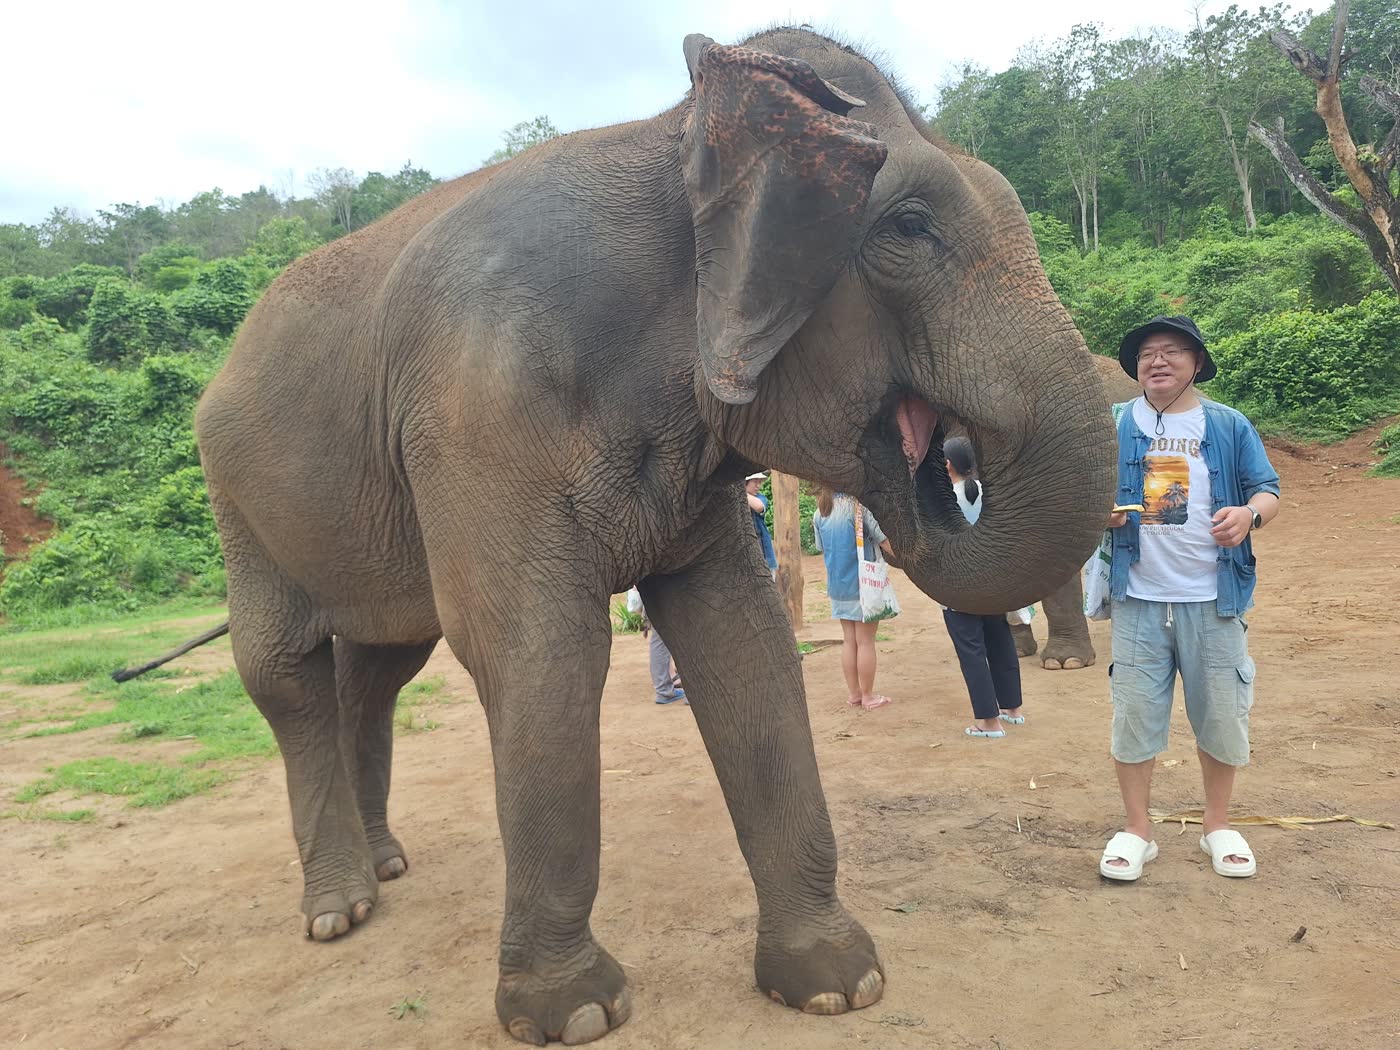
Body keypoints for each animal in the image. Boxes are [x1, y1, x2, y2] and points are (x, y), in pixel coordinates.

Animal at [193, 27, 1115, 1046]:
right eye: (909, 229)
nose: (947, 463)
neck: (674, 134)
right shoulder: (476, 412)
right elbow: (540, 651)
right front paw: (574, 1015)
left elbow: (741, 636)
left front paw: (837, 984)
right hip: (238, 499)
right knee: (284, 670)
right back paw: (340, 910)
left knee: (381, 665)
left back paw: (387, 864)